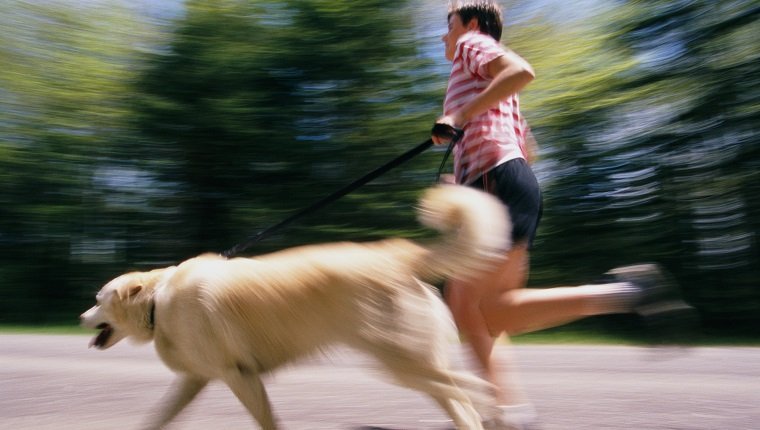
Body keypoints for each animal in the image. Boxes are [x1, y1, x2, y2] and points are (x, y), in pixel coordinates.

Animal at [80, 184, 510, 426]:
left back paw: (500, 404)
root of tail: (399, 255)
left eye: (98, 300)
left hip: (403, 363)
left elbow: (268, 422)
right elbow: (157, 418)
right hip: (415, 366)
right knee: (464, 405)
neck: (158, 301)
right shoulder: (197, 379)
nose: (81, 317)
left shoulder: (240, 377)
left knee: (476, 388)